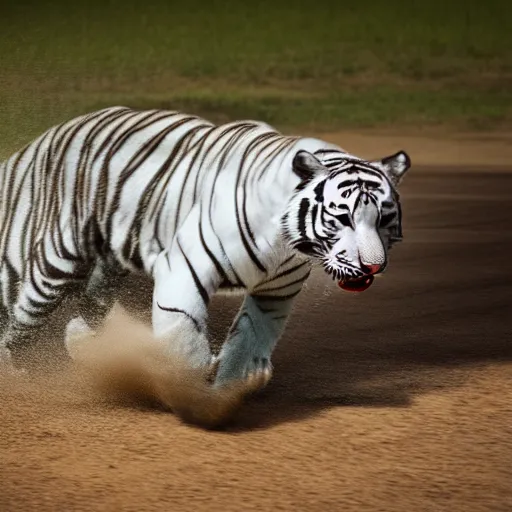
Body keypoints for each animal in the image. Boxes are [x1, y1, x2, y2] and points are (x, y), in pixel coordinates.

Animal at [0, 104, 410, 412]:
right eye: (342, 218)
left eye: (384, 218)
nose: (373, 266)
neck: (286, 243)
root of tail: (44, 138)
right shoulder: (184, 269)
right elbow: (184, 336)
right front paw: (195, 392)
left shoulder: (275, 293)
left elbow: (250, 338)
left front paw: (235, 385)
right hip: (52, 265)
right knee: (21, 324)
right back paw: (18, 376)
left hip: (104, 272)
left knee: (83, 316)